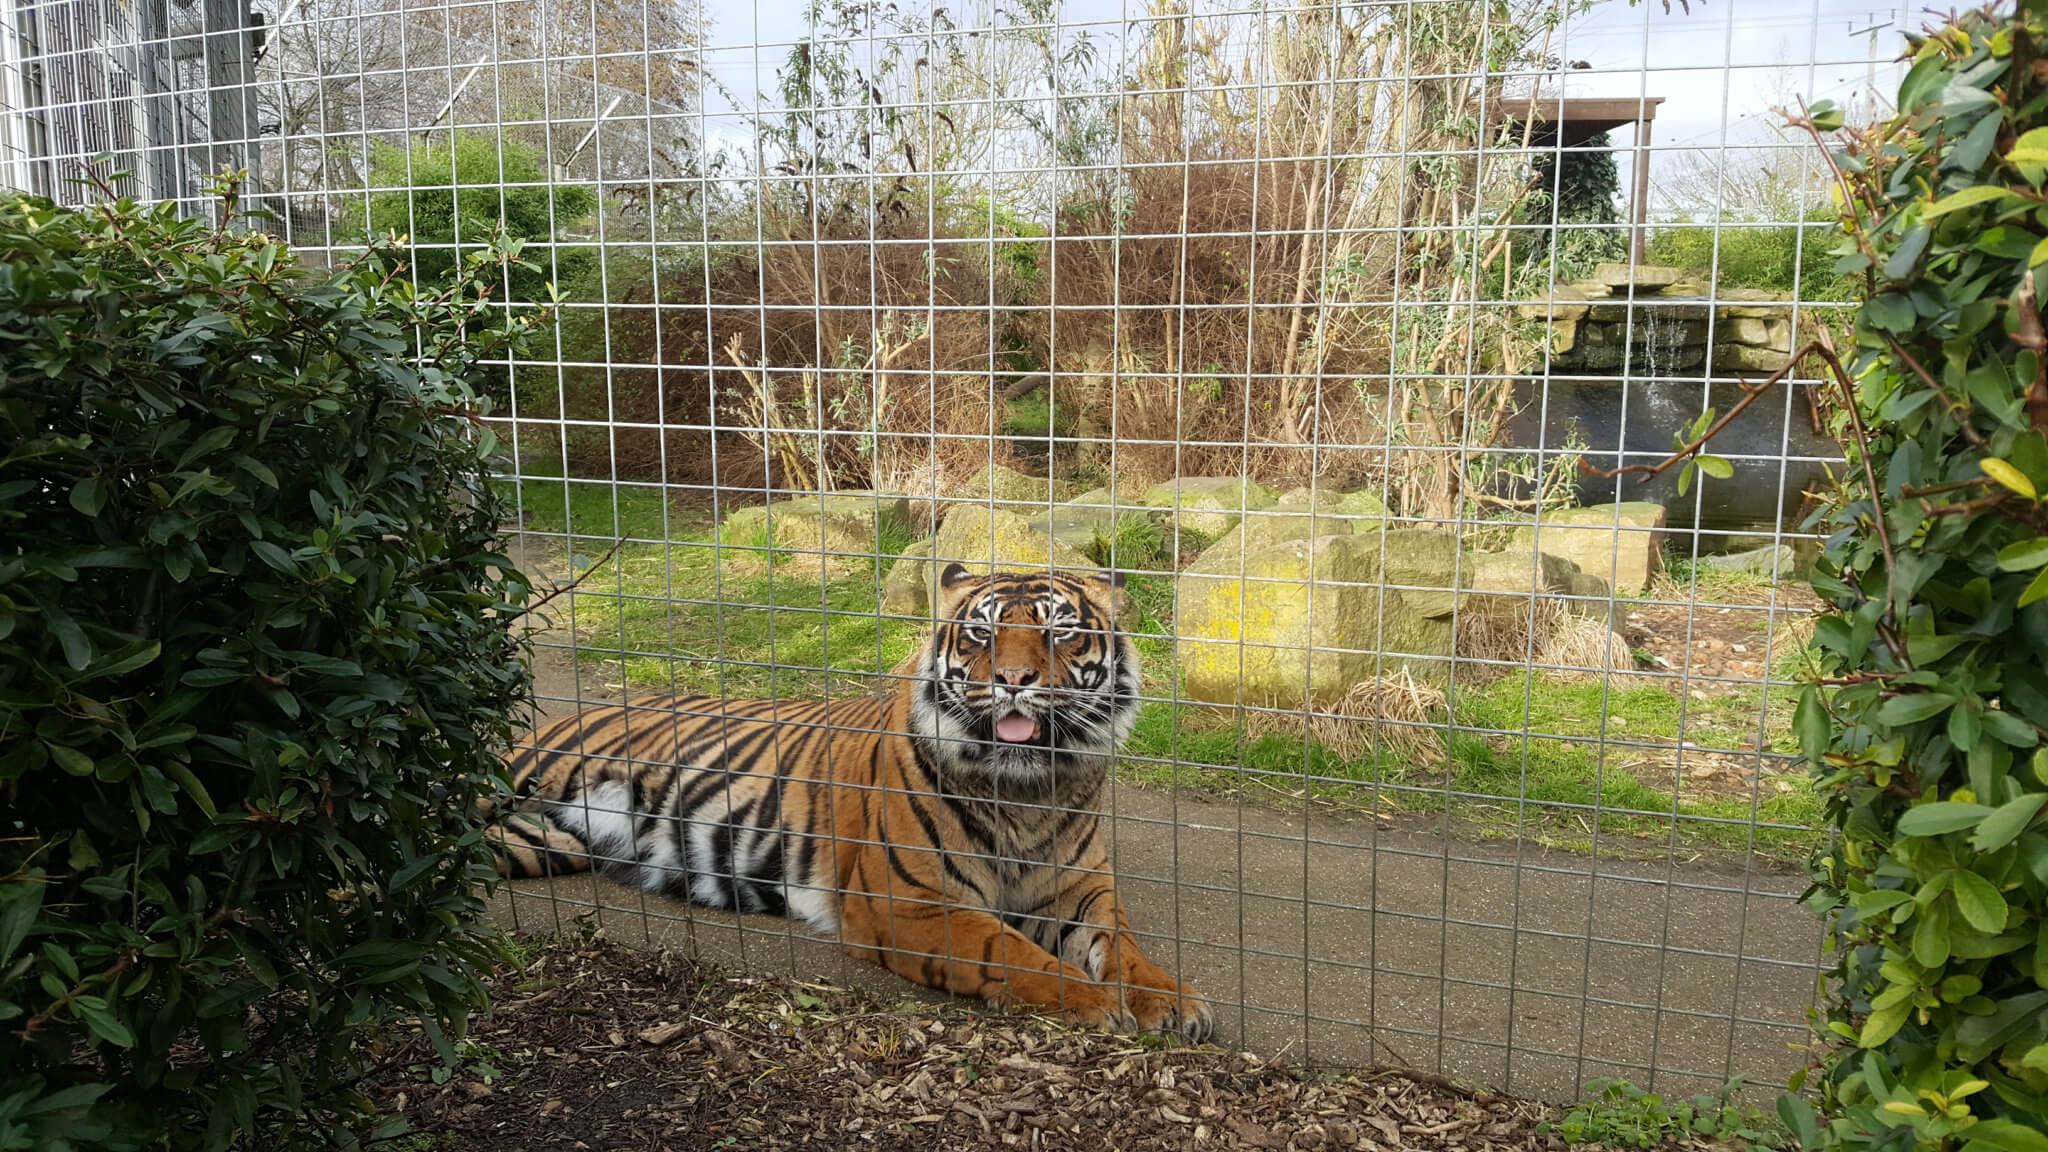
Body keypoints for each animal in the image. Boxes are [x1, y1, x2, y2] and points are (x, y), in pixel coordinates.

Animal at [487, 561, 1204, 1037]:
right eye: (980, 634)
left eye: (1060, 634)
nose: (1013, 679)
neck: (1027, 791)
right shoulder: (910, 904)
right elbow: (1011, 952)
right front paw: (1095, 1002)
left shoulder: (1080, 888)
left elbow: (1123, 946)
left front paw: (1172, 1001)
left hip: (539, 842)